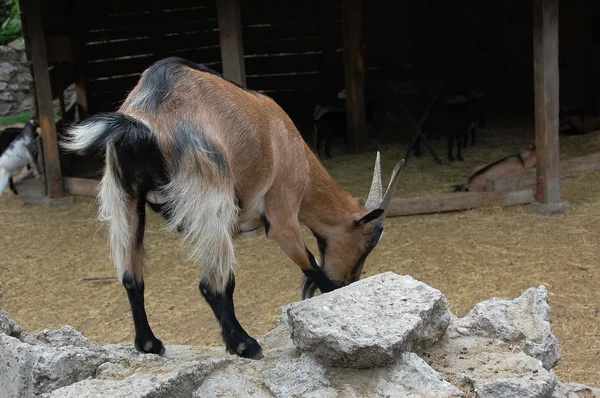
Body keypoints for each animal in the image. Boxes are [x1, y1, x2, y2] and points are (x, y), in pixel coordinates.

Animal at [62, 56, 408, 360]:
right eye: (367, 242)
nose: (350, 281)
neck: (292, 148)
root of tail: (146, 117)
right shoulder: (281, 212)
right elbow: (308, 262)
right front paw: (330, 296)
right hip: (209, 189)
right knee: (209, 285)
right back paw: (247, 345)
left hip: (126, 196)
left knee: (132, 277)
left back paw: (149, 344)